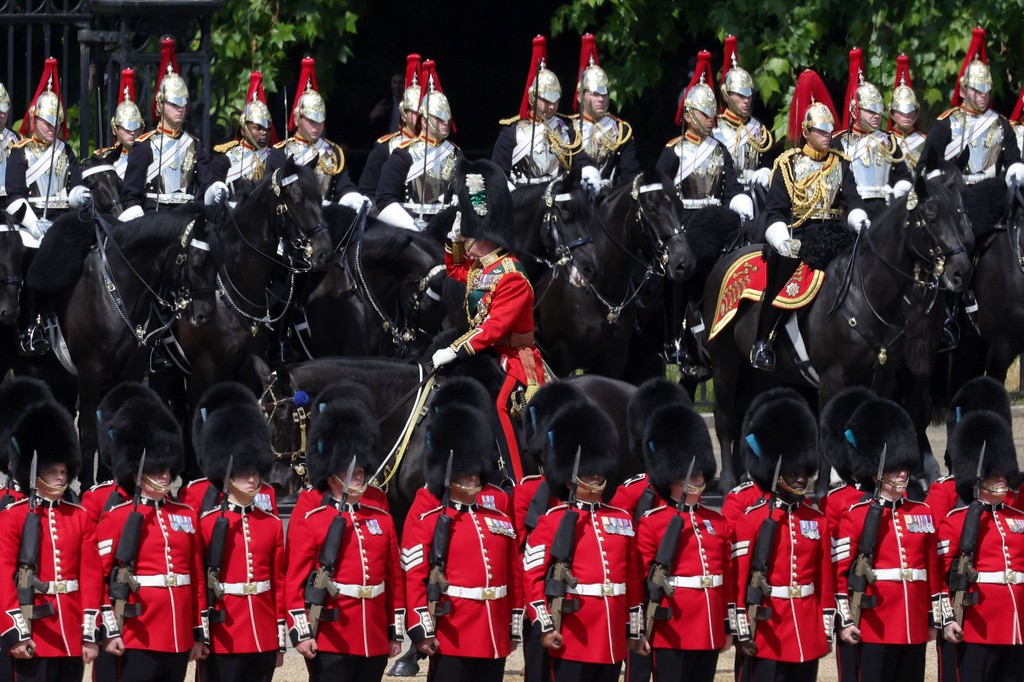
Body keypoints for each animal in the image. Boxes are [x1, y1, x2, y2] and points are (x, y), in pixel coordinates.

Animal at [704, 168, 974, 489]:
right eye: (931, 218)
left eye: (959, 215)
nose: (961, 271)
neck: (866, 293)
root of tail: (728, 258)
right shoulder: (832, 378)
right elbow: (827, 436)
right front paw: (825, 488)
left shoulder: (884, 377)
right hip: (725, 361)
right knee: (725, 418)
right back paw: (728, 481)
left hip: (760, 373)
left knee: (750, 413)